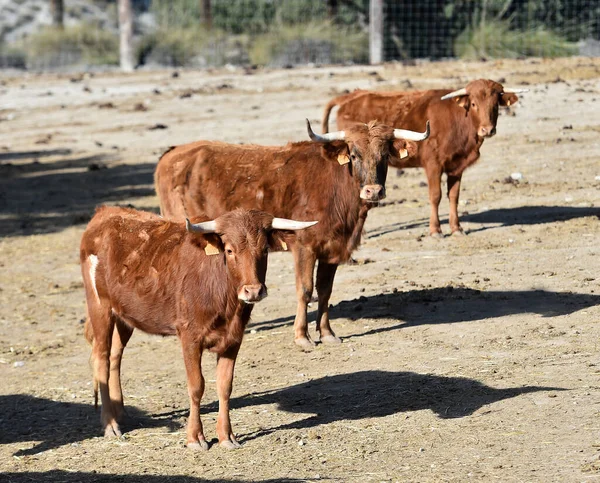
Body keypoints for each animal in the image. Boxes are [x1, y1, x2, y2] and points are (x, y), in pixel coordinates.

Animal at [82, 205, 316, 450]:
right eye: (229, 250)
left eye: (265, 250)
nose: (253, 291)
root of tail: (105, 212)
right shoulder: (190, 337)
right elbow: (196, 386)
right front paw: (195, 437)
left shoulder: (233, 339)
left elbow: (225, 386)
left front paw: (226, 436)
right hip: (100, 307)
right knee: (102, 359)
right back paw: (110, 424)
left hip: (124, 316)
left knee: (115, 356)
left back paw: (120, 412)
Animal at [154, 119, 426, 350]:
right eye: (354, 154)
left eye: (385, 155)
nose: (373, 191)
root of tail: (173, 154)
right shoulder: (305, 247)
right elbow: (305, 290)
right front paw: (302, 337)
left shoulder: (332, 249)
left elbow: (324, 290)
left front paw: (327, 333)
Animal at [324, 79, 524, 236]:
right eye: (474, 104)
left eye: (496, 105)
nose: (487, 129)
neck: (459, 120)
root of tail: (351, 96)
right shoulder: (433, 165)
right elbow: (436, 196)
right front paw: (436, 230)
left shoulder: (456, 167)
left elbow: (454, 196)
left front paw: (456, 228)